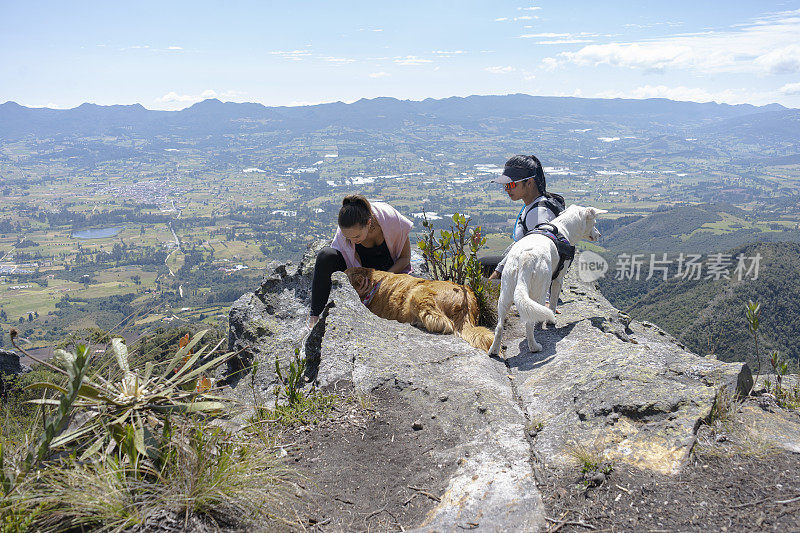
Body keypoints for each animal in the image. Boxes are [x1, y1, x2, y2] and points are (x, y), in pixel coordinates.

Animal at [488, 206, 608, 356]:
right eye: (595, 222)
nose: (600, 235)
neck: (563, 228)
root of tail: (526, 258)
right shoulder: (558, 279)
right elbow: (553, 302)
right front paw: (551, 321)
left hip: (505, 294)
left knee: (499, 326)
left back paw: (493, 350)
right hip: (538, 291)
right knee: (529, 323)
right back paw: (534, 347)